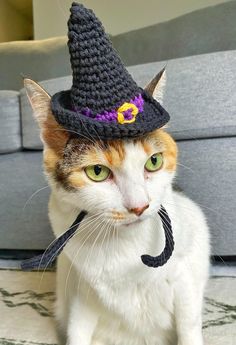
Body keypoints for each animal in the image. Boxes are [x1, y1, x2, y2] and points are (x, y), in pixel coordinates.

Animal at [24, 70, 210, 344]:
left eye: (154, 161)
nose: (140, 206)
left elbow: (188, 326)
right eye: (97, 172)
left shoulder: (184, 276)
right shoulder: (81, 289)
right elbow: (77, 330)